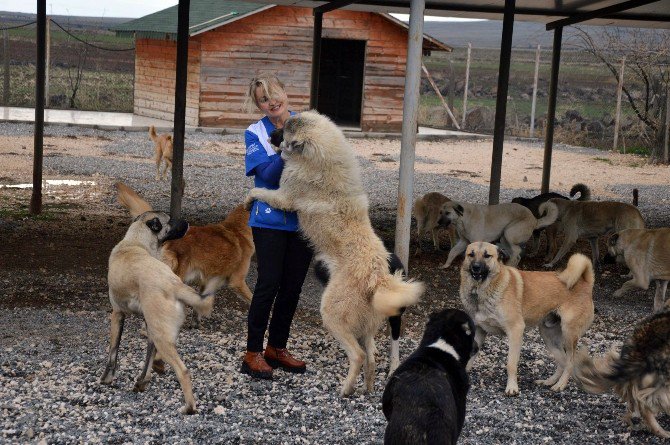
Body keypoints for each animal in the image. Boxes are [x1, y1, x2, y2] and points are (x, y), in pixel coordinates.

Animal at [101, 210, 215, 414]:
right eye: (169, 220)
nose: (188, 224)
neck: (135, 243)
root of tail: (174, 283)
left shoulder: (117, 314)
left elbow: (113, 353)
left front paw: (106, 378)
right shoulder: (147, 325)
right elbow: (148, 358)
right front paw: (142, 381)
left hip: (160, 336)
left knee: (183, 371)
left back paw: (189, 407)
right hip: (158, 332)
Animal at [247, 111, 426, 396]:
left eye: (284, 131)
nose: (270, 135)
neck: (321, 160)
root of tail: (378, 275)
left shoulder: (284, 197)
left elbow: (260, 192)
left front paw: (249, 198)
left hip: (331, 314)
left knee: (359, 355)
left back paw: (346, 389)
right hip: (367, 323)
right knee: (372, 355)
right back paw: (367, 387)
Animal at [460, 241, 596, 394]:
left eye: (487, 255)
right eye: (470, 254)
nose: (476, 267)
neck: (480, 290)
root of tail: (585, 283)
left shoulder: (516, 330)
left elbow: (511, 363)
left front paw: (512, 387)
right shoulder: (479, 331)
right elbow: (470, 356)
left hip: (568, 334)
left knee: (571, 361)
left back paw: (560, 384)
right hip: (549, 337)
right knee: (563, 361)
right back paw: (550, 381)